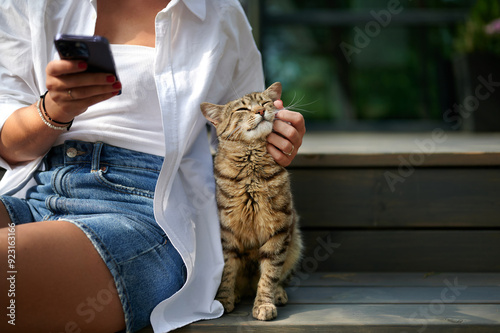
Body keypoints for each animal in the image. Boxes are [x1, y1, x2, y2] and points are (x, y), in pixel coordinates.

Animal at [200, 82, 302, 320]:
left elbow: (269, 275)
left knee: (279, 276)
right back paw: (237, 294)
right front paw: (223, 299)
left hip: (294, 242)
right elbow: (227, 271)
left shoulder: (279, 230)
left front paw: (264, 303)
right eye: (242, 109)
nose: (260, 111)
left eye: (265, 102)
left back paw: (278, 294)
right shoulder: (227, 233)